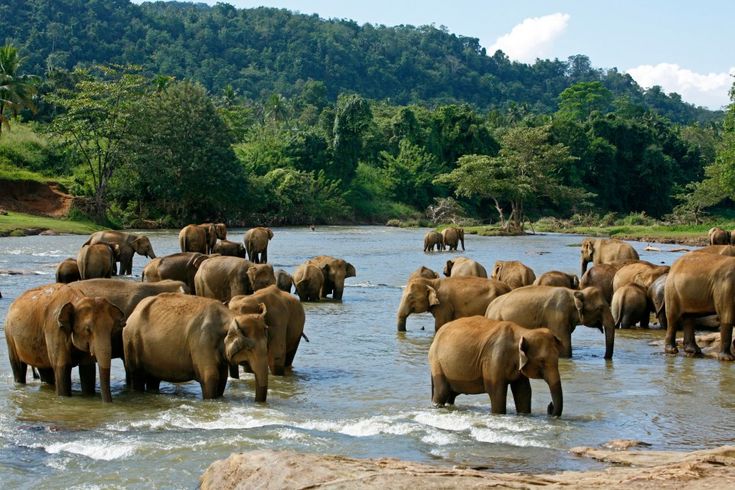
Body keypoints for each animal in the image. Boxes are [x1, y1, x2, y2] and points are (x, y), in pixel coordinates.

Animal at [123, 293, 268, 401]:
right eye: (249, 348)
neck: (231, 316)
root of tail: (133, 312)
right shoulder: (202, 341)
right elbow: (211, 377)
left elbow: (222, 379)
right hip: (131, 342)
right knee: (137, 375)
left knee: (153, 379)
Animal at [429, 316, 563, 416]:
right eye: (542, 361)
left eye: (558, 357)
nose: (550, 406)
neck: (523, 331)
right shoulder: (494, 359)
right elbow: (496, 392)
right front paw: (498, 415)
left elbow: (523, 392)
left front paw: (524, 415)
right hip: (436, 361)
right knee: (442, 391)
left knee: (450, 393)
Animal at [485, 285, 616, 359]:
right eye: (600, 308)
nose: (604, 358)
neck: (575, 292)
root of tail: (489, 308)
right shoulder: (557, 316)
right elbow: (565, 348)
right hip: (497, 318)